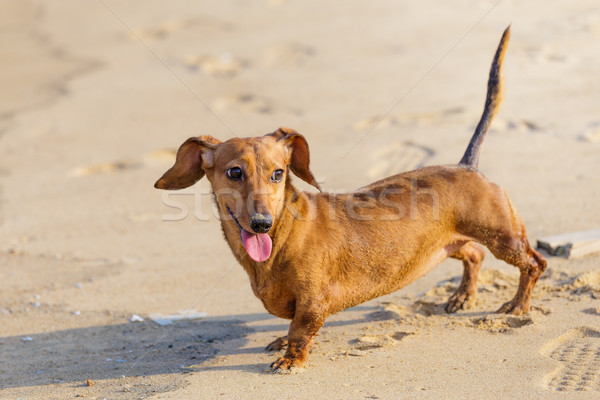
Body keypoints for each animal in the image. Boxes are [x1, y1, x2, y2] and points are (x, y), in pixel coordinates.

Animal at [156, 27, 548, 372]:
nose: (261, 224)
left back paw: (517, 306)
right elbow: (290, 325)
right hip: (447, 243)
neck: (284, 234)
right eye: (235, 172)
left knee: (534, 263)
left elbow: (300, 329)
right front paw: (282, 343)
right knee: (473, 254)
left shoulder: (314, 301)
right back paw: (463, 296)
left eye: (278, 173)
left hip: (504, 238)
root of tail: (467, 164)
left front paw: (291, 358)